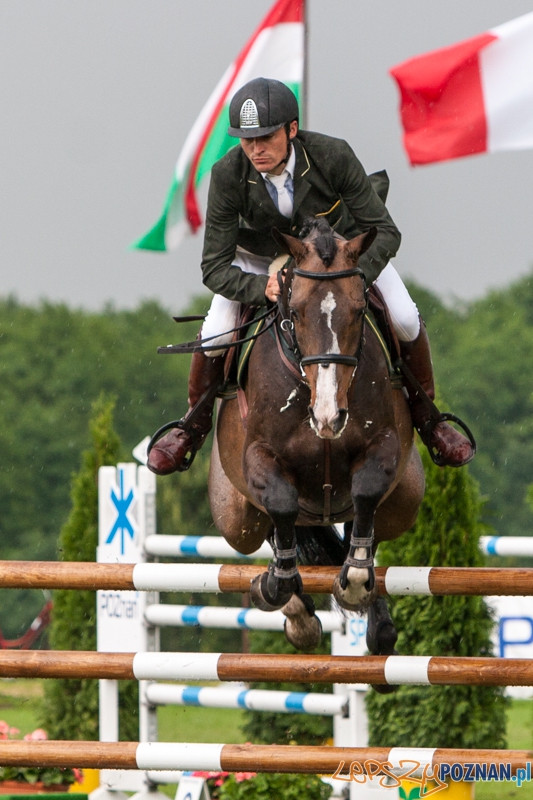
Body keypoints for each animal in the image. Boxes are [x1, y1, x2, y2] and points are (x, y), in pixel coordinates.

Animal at [208, 219, 424, 664]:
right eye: (295, 313)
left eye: (359, 311)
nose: (328, 416)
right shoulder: (259, 458)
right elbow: (281, 503)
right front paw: (274, 587)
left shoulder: (383, 446)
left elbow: (365, 493)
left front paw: (356, 581)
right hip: (234, 519)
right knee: (267, 528)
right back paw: (297, 614)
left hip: (405, 499)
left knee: (369, 522)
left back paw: (377, 623)